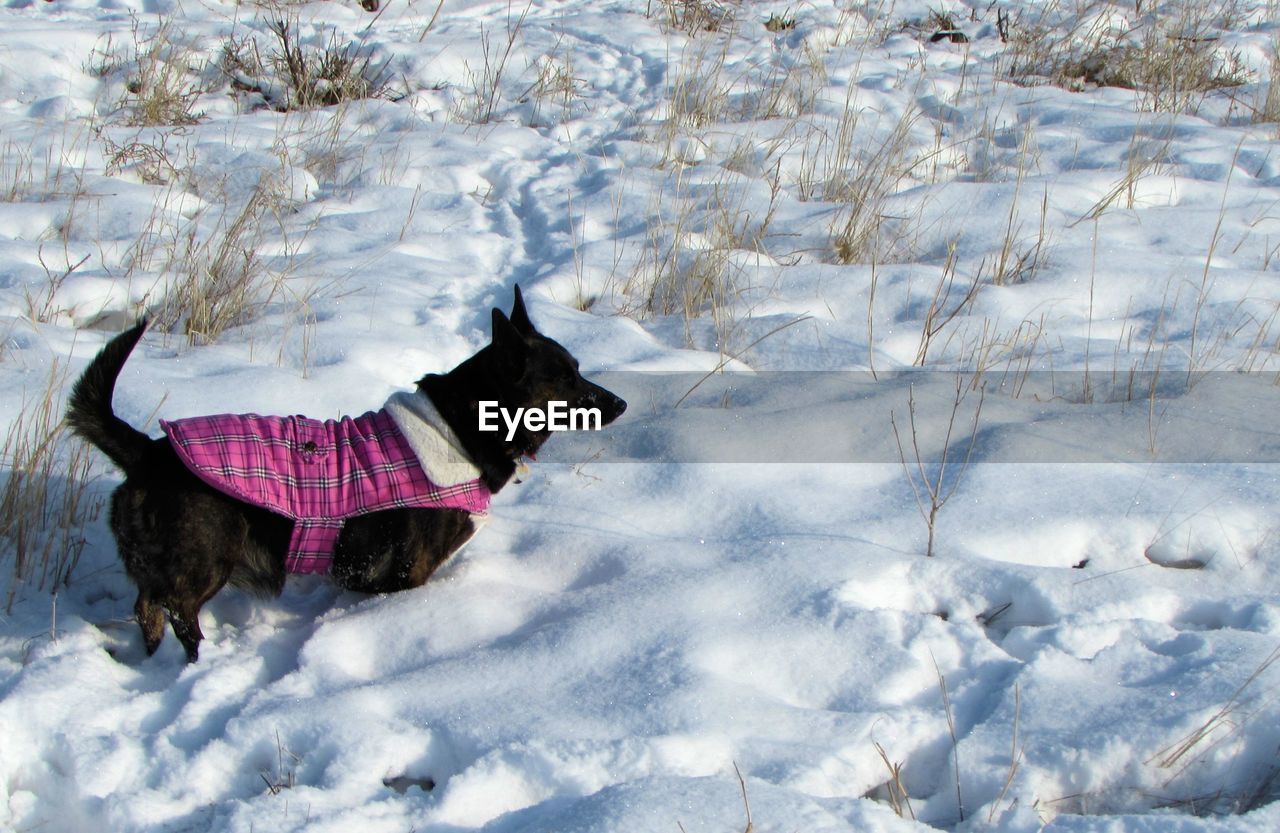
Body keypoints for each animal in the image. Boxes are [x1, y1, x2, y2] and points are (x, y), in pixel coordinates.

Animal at [67, 287, 627, 665]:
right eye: (565, 379)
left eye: (579, 368)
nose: (621, 403)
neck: (465, 424)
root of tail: (147, 452)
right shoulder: (408, 573)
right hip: (205, 559)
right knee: (174, 608)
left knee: (147, 608)